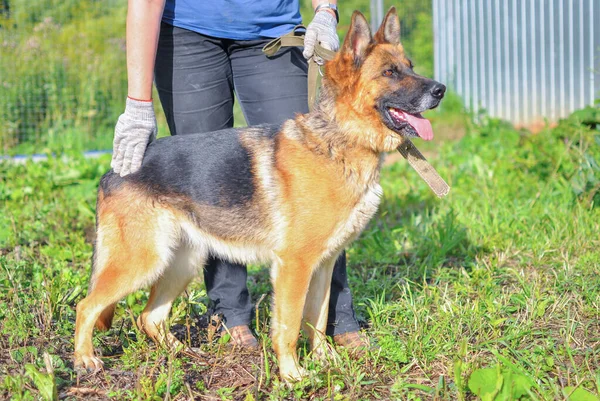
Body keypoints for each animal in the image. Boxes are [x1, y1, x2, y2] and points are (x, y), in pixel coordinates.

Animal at [72, 7, 446, 380]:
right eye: (389, 72)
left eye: (410, 66)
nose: (440, 90)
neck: (339, 141)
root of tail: (111, 171)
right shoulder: (295, 265)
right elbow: (290, 325)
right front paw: (292, 374)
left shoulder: (323, 265)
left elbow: (318, 318)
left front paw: (326, 361)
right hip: (142, 261)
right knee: (86, 305)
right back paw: (85, 359)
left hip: (181, 261)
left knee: (149, 316)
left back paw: (184, 355)